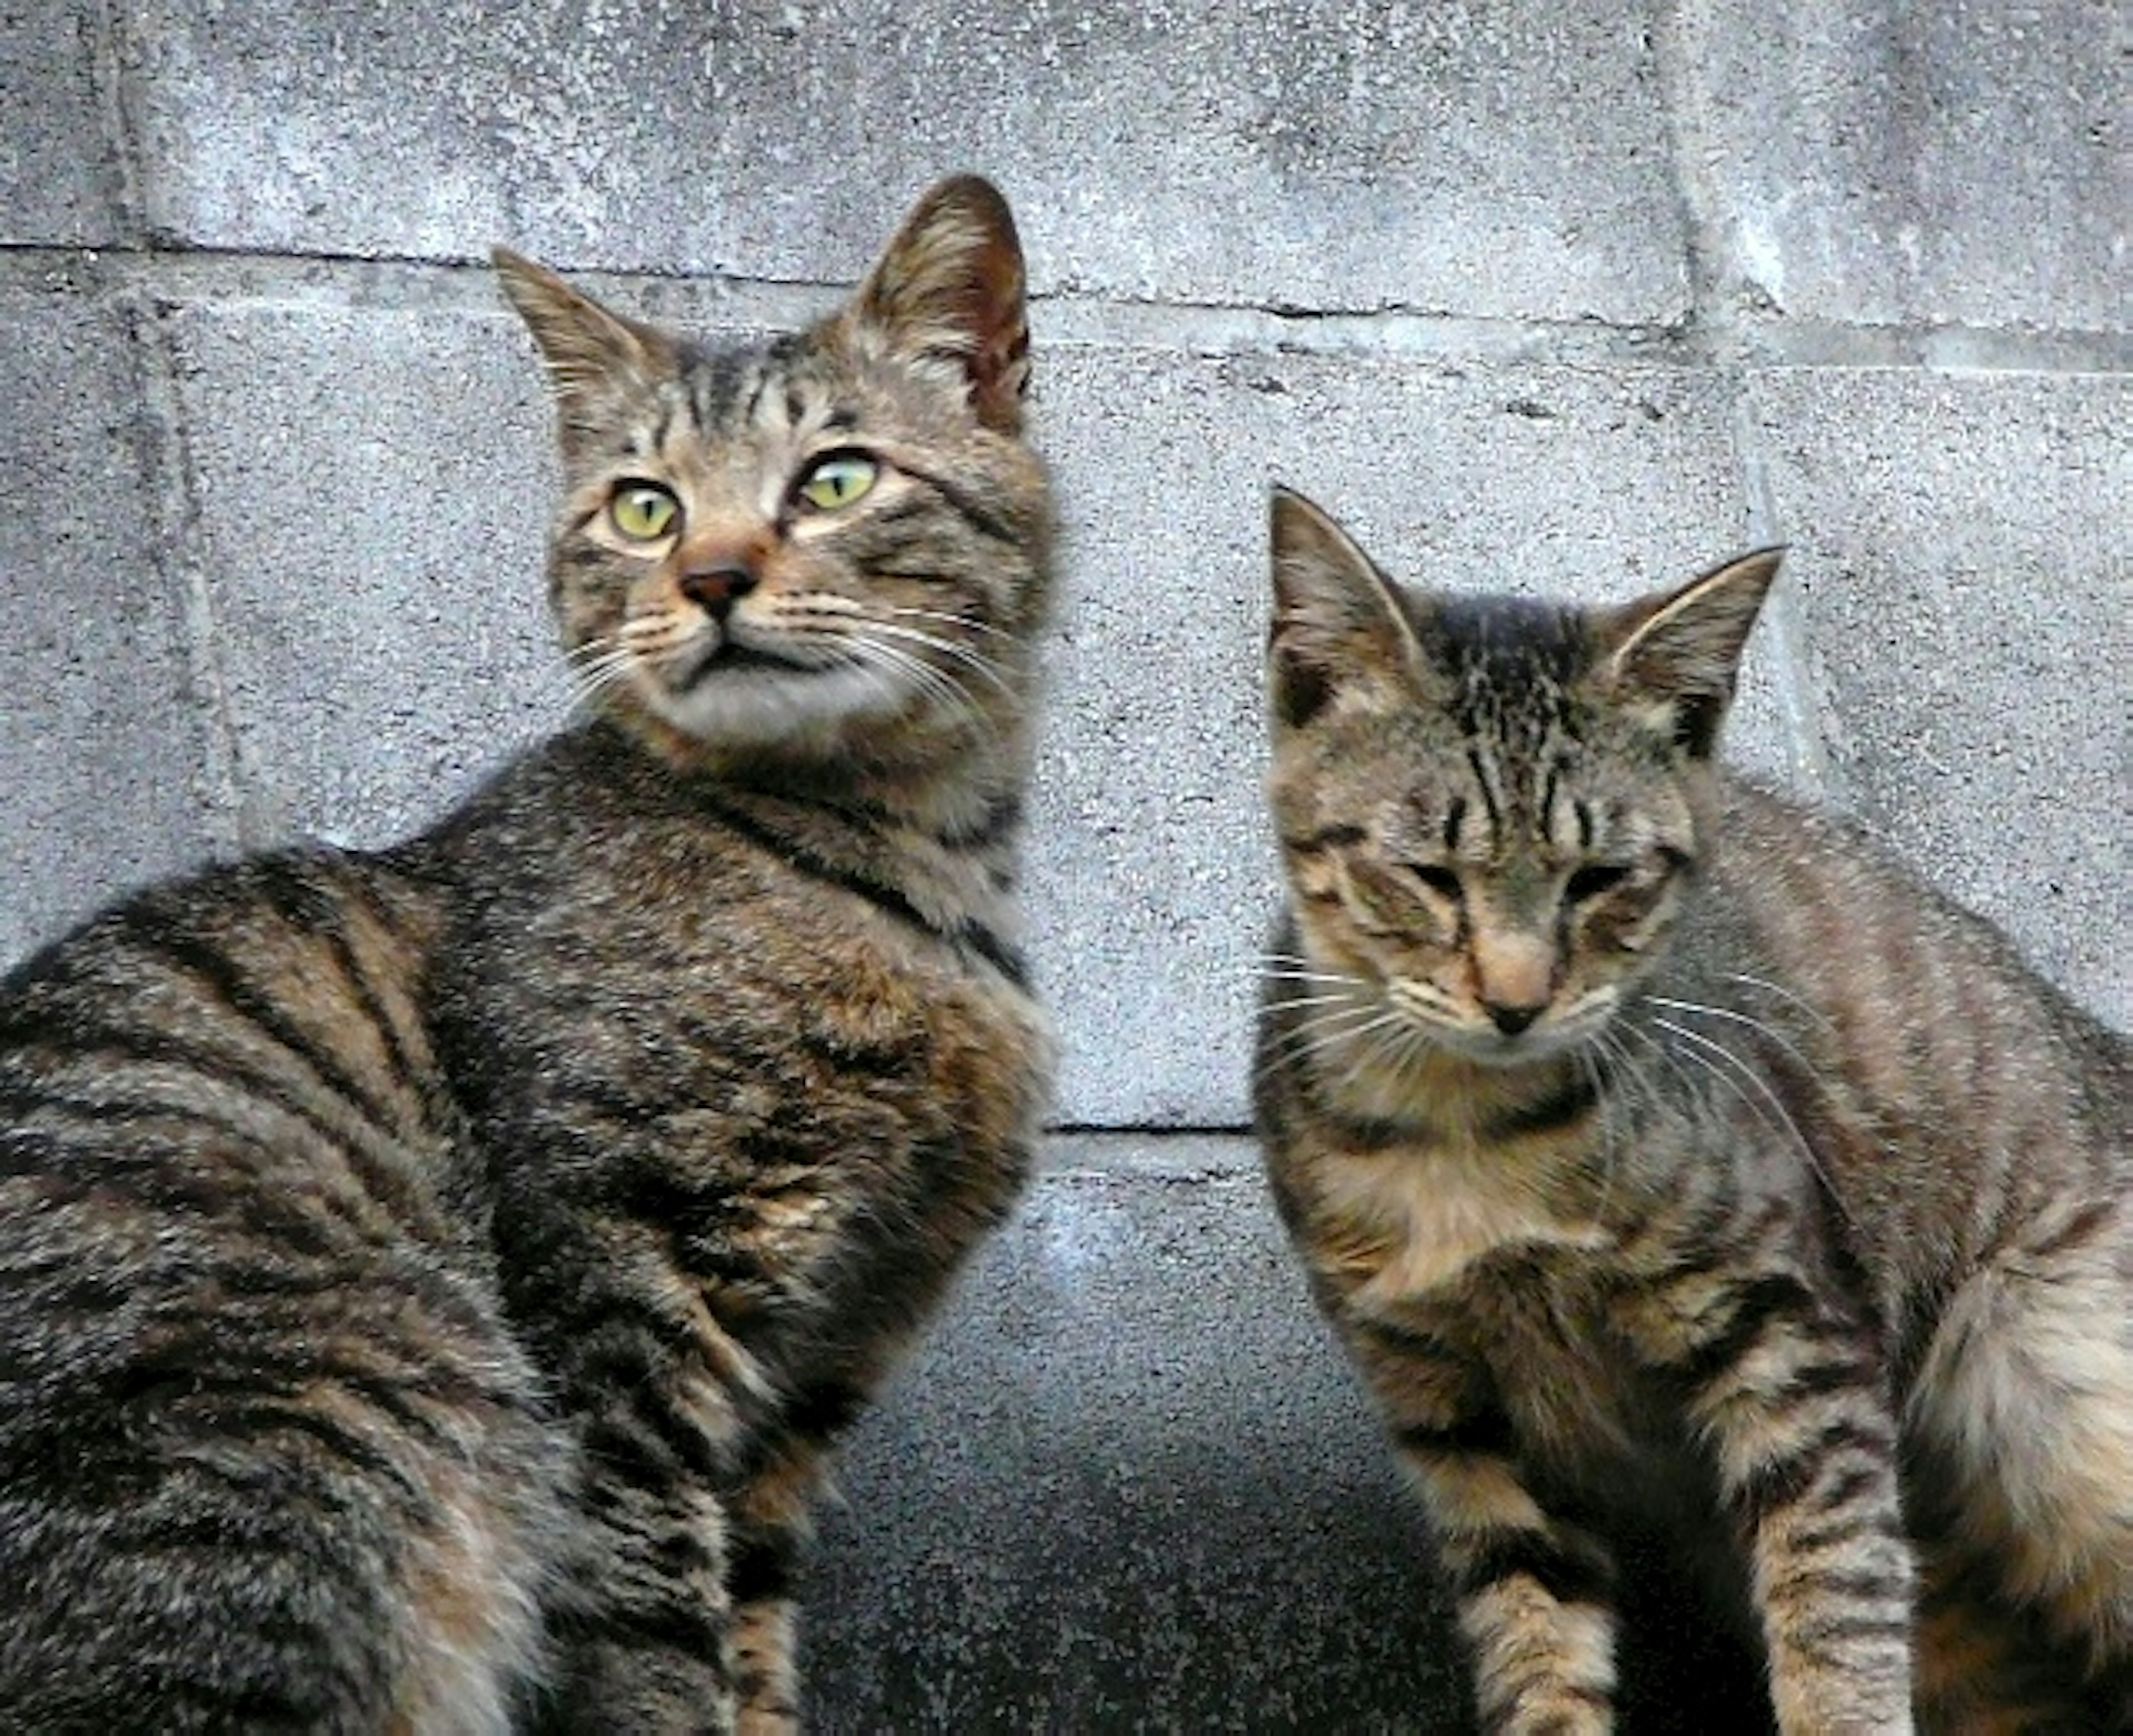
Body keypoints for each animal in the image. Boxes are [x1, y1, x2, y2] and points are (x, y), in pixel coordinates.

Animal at [0, 180, 1049, 1736]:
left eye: (836, 479)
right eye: (644, 505)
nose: (712, 575)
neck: (908, 862)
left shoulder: (813, 1369)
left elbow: (748, 1639)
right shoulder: (613, 1303)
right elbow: (650, 1642)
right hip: (360, 1413)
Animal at [1254, 490, 2124, 1736]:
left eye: (1599, 878)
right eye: (1429, 874)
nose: (1516, 1002)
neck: (1469, 1137)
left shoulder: (1796, 1335)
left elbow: (1836, 1609)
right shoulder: (1462, 1419)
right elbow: (1535, 1644)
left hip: (2065, 1400)